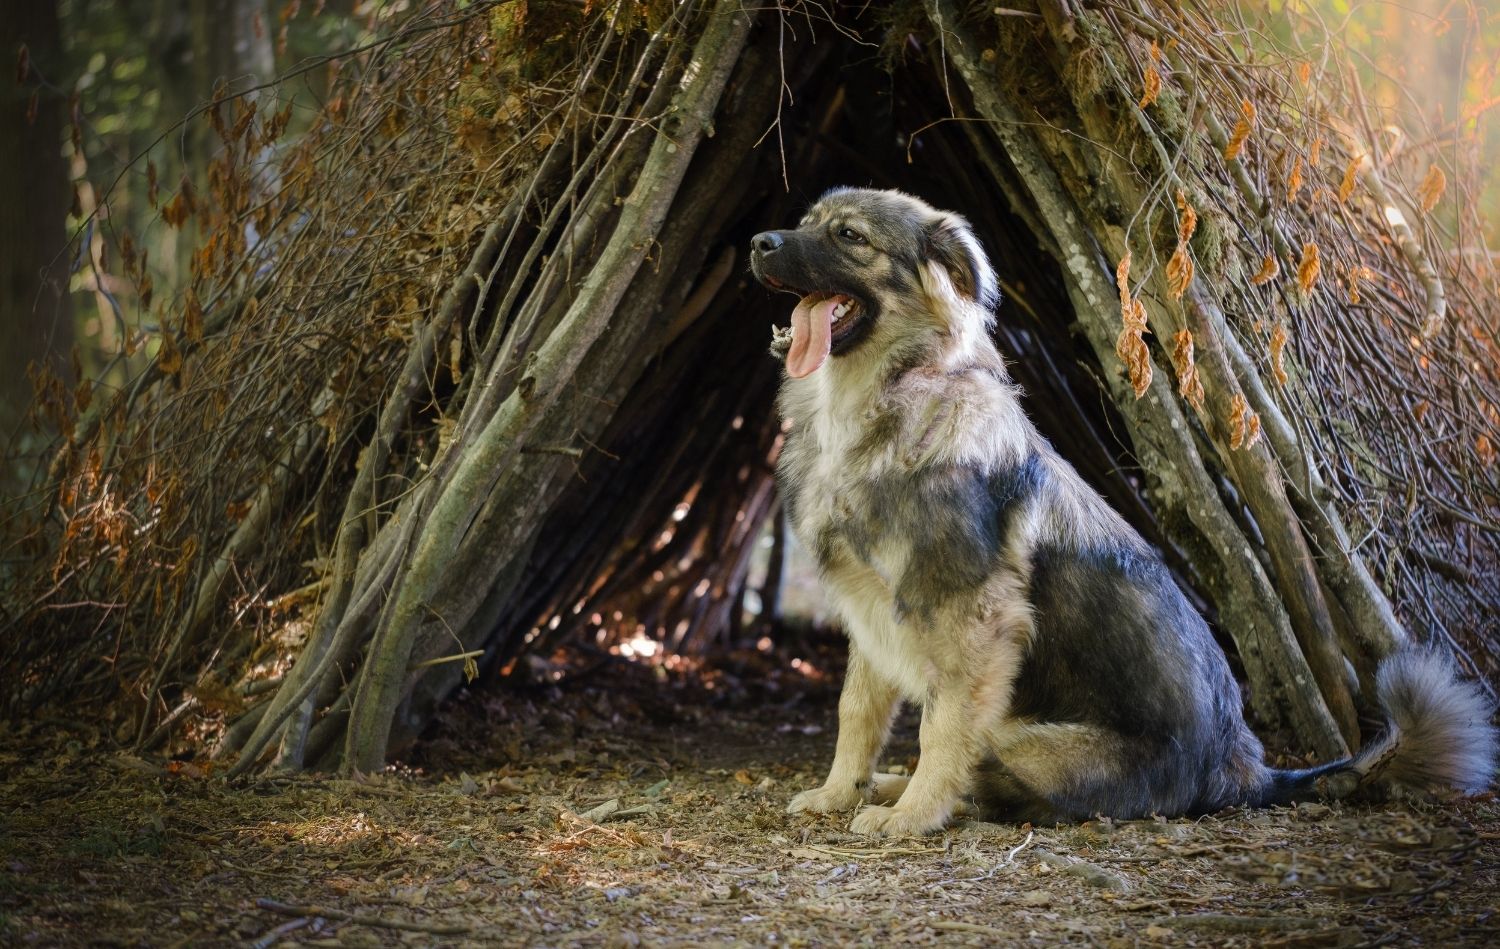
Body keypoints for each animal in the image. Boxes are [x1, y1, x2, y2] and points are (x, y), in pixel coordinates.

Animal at [744, 182, 1494, 827]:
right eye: (808, 221)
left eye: (849, 236)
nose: (758, 242)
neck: (886, 402)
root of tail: (1243, 769)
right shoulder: (871, 609)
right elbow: (857, 713)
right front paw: (840, 790)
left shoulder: (969, 615)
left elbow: (941, 727)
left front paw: (912, 816)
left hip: (1023, 735)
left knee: (998, 779)